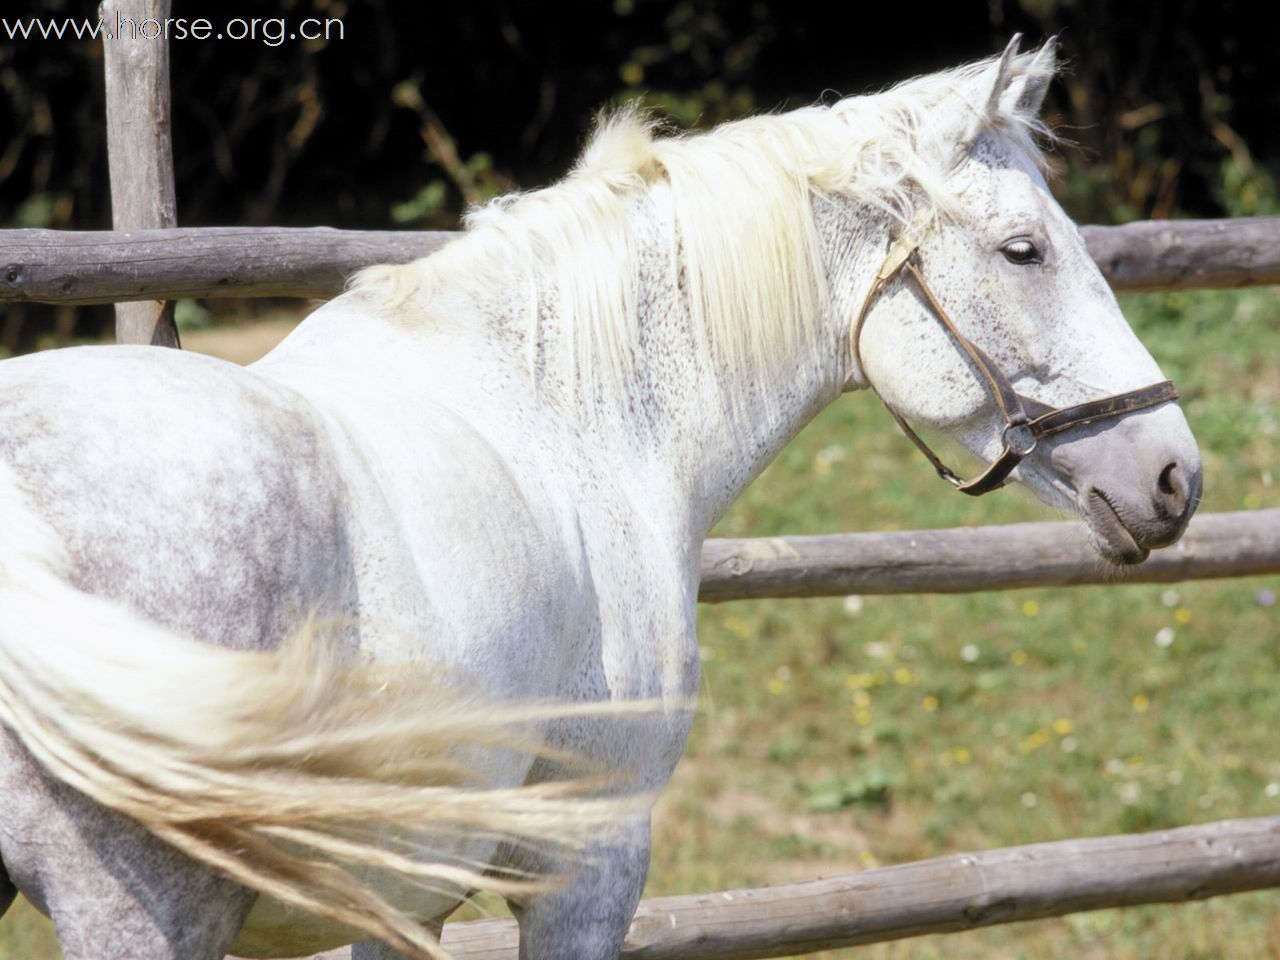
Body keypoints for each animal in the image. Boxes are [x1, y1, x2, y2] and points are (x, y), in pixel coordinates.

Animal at [0, 37, 1198, 960]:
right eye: (1023, 250)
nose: (1174, 476)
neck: (570, 413)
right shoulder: (590, 862)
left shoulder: (397, 893)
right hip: (146, 909)